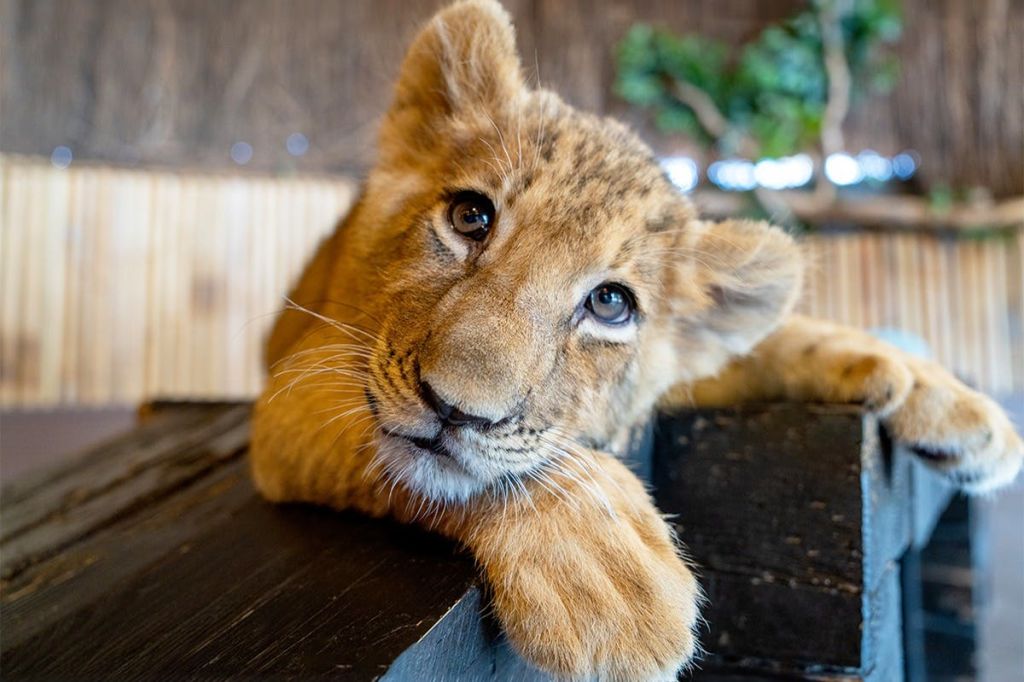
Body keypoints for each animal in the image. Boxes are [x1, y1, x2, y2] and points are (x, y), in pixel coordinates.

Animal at [249, 1, 1023, 679]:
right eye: (471, 217)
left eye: (610, 304)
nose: (455, 411)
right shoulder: (292, 393)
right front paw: (610, 580)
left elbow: (782, 337)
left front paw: (953, 404)